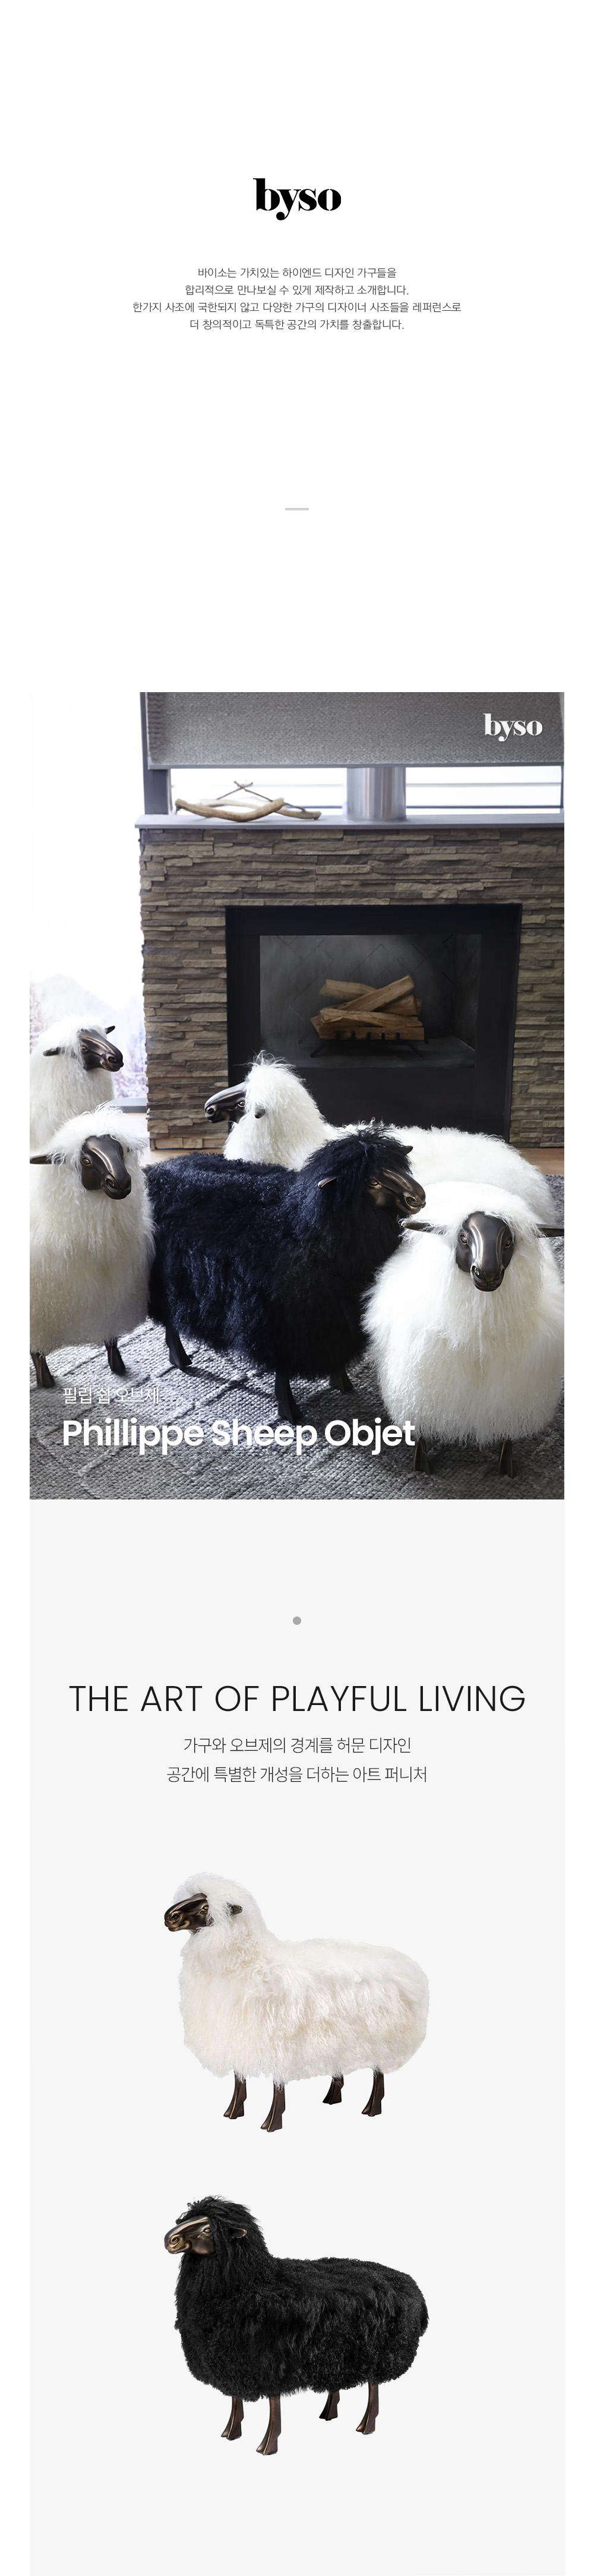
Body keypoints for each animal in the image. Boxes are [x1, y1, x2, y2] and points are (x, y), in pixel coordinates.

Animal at [30, 1105, 153, 1386]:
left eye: (121, 1151)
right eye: (86, 1160)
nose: (121, 1183)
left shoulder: (110, 1296)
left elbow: (112, 1336)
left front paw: (117, 1364)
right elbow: (37, 1350)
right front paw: (45, 1379)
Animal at [146, 1128, 425, 1422]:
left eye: (399, 1166)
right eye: (372, 1182)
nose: (418, 1197)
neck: (301, 1224)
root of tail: (160, 1168)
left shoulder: (338, 1310)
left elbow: (336, 1347)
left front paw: (341, 1381)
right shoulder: (279, 1320)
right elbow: (282, 1369)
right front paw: (289, 1409)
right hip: (163, 1278)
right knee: (170, 1321)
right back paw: (180, 1358)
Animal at [164, 1873, 429, 2130]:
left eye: (205, 1907)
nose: (169, 1917)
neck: (251, 1962)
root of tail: (408, 1965)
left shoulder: (275, 2042)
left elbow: (276, 2086)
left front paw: (272, 2122)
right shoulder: (238, 2036)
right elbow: (239, 2080)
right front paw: (233, 2112)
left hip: (383, 2037)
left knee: (379, 2074)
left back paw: (372, 2108)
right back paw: (333, 2097)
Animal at [165, 2195, 428, 2452]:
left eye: (208, 2229)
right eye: (187, 2219)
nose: (171, 2239)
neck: (254, 2281)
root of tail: (409, 2282)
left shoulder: (270, 2363)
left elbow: (273, 2407)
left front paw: (268, 2444)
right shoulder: (233, 2359)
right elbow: (235, 2400)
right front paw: (231, 2432)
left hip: (379, 2353)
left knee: (374, 2389)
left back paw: (366, 2425)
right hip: (335, 2352)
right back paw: (329, 2413)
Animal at [365, 1178, 564, 1479]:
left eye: (509, 1241)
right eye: (462, 1237)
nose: (488, 1273)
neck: (478, 1333)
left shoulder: (514, 1390)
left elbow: (507, 1434)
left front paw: (506, 1462)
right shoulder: (420, 1384)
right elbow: (419, 1428)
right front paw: (421, 1462)